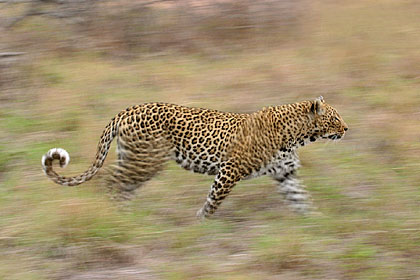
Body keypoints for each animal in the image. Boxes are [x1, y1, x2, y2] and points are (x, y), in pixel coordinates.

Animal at [41, 96, 348, 219]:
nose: (347, 128)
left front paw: (317, 222)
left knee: (120, 184)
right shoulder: (229, 170)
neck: (298, 135)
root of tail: (129, 109)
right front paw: (199, 222)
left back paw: (123, 216)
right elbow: (213, 201)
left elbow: (301, 199)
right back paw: (109, 214)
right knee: (110, 180)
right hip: (147, 160)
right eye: (334, 118)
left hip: (133, 157)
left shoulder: (285, 173)